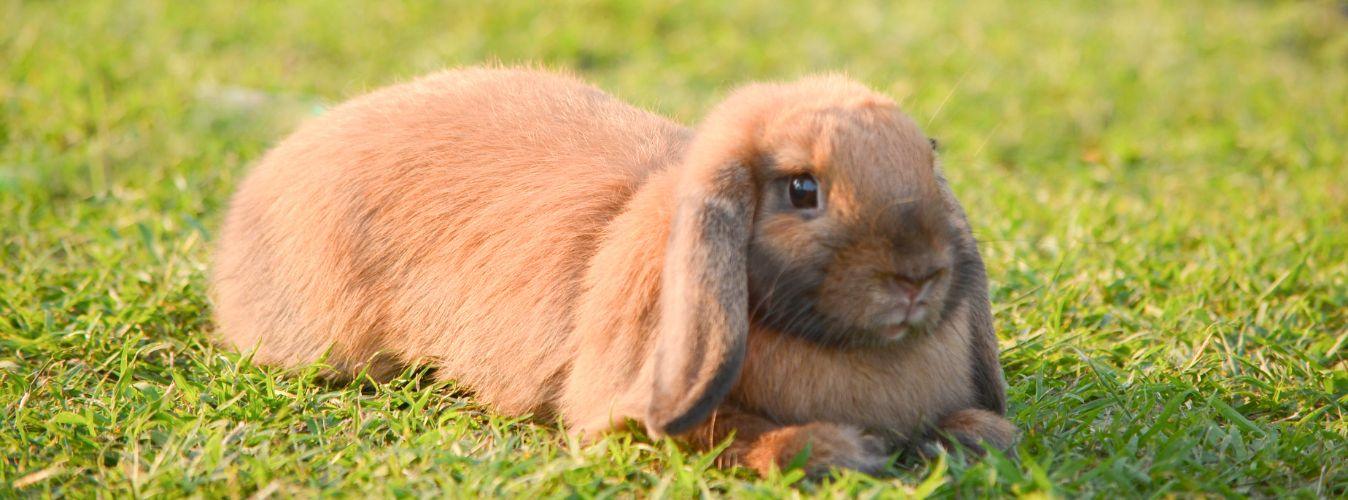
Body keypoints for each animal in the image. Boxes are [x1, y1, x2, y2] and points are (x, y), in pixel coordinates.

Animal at [211, 67, 1016, 476]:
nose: (917, 276)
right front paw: (836, 452)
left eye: (929, 159)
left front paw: (977, 435)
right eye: (801, 189)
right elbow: (721, 432)